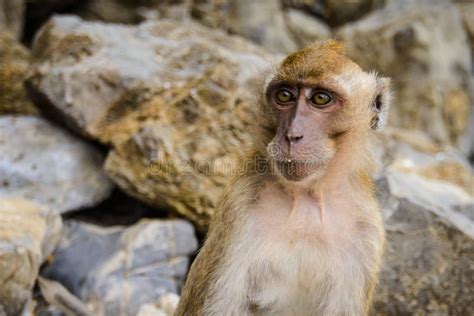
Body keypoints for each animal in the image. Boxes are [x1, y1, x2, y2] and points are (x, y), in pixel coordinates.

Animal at [176, 40, 390, 314]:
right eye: (285, 96)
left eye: (320, 98)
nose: (292, 135)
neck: (307, 193)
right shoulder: (239, 205)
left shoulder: (367, 231)